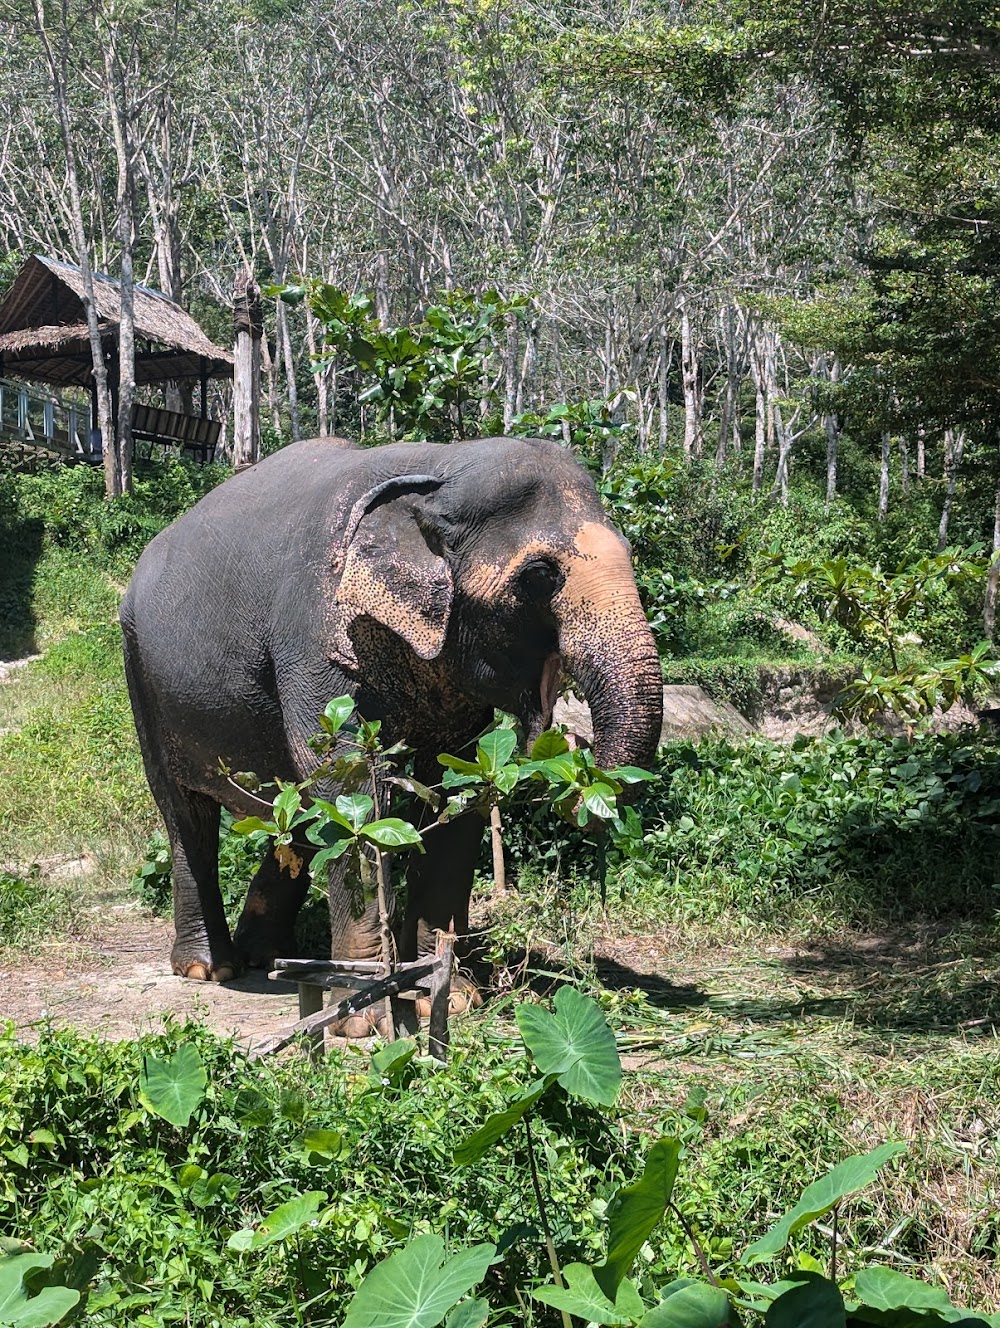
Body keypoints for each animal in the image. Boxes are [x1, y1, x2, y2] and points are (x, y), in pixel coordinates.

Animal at [118, 435, 664, 1003]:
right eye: (539, 575)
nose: (579, 760)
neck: (437, 465)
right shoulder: (316, 642)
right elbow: (347, 782)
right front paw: (365, 1007)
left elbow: (457, 786)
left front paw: (446, 995)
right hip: (140, 674)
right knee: (186, 815)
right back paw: (210, 968)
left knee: (293, 806)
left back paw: (265, 957)